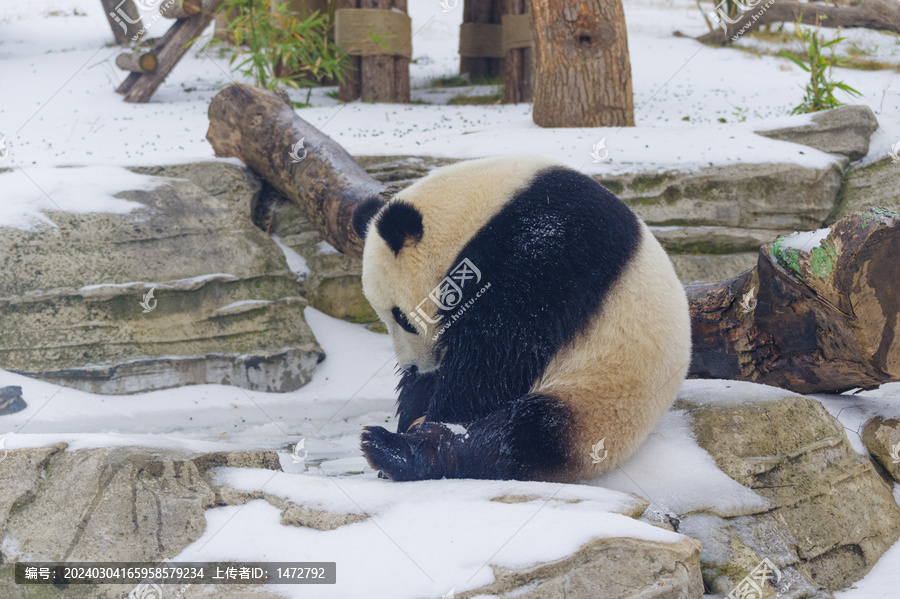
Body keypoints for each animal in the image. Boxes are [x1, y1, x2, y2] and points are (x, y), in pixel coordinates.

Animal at [350, 155, 688, 482]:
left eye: (402, 318)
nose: (412, 367)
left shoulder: (545, 246)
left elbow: (498, 353)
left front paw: (435, 411)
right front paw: (413, 406)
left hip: (600, 403)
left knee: (520, 436)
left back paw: (395, 450)